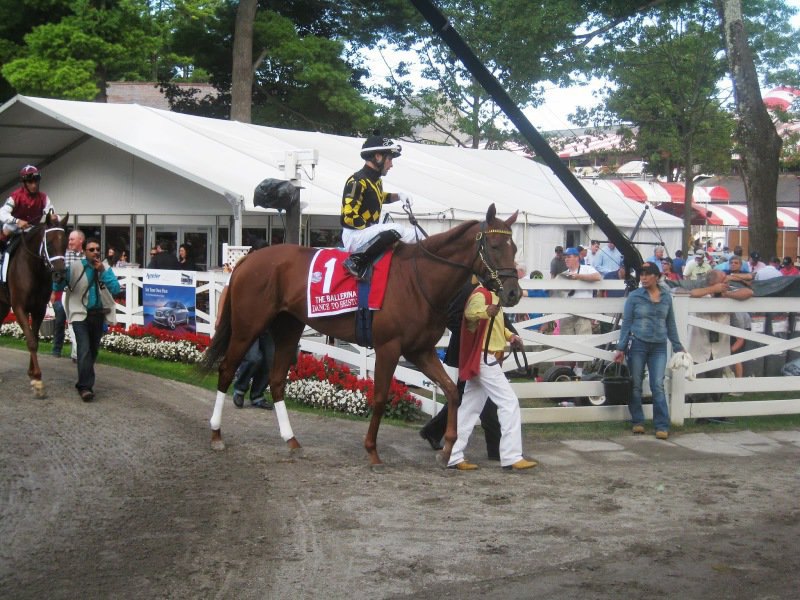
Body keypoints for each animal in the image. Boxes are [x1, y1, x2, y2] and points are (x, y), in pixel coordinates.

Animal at [0, 212, 68, 398]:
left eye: (66, 243)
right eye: (49, 243)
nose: (59, 275)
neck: (33, 269)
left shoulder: (39, 309)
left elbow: (35, 338)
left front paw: (33, 375)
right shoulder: (19, 308)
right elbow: (30, 341)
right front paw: (37, 379)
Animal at [202, 204, 520, 466]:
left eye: (514, 247)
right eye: (494, 245)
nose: (514, 293)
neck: (418, 280)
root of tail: (248, 260)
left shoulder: (420, 350)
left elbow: (453, 392)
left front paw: (448, 449)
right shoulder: (389, 347)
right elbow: (379, 397)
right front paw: (372, 450)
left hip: (288, 329)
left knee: (277, 380)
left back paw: (291, 441)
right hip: (247, 327)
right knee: (227, 370)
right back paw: (216, 435)